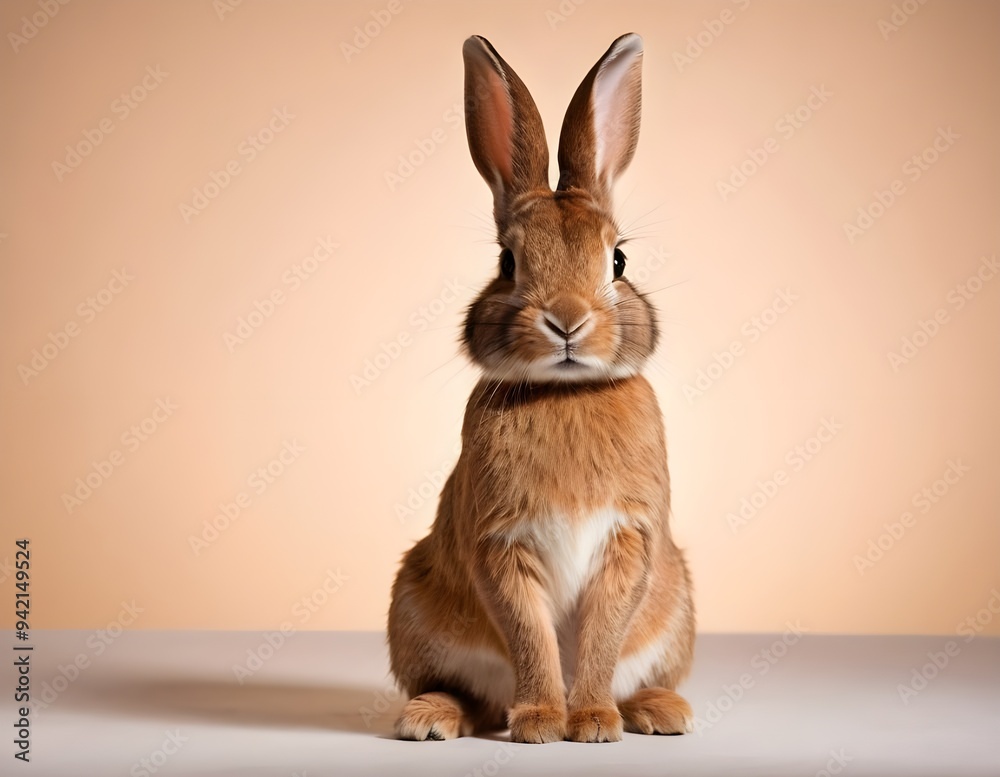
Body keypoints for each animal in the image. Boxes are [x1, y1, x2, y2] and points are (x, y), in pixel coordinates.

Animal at [387, 32, 695, 744]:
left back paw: (658, 712)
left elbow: (601, 637)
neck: (564, 393)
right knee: (469, 697)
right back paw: (430, 718)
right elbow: (530, 635)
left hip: (678, 610)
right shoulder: (501, 543)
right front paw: (540, 724)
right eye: (507, 261)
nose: (567, 320)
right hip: (413, 607)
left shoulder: (629, 541)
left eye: (619, 259)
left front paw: (593, 722)